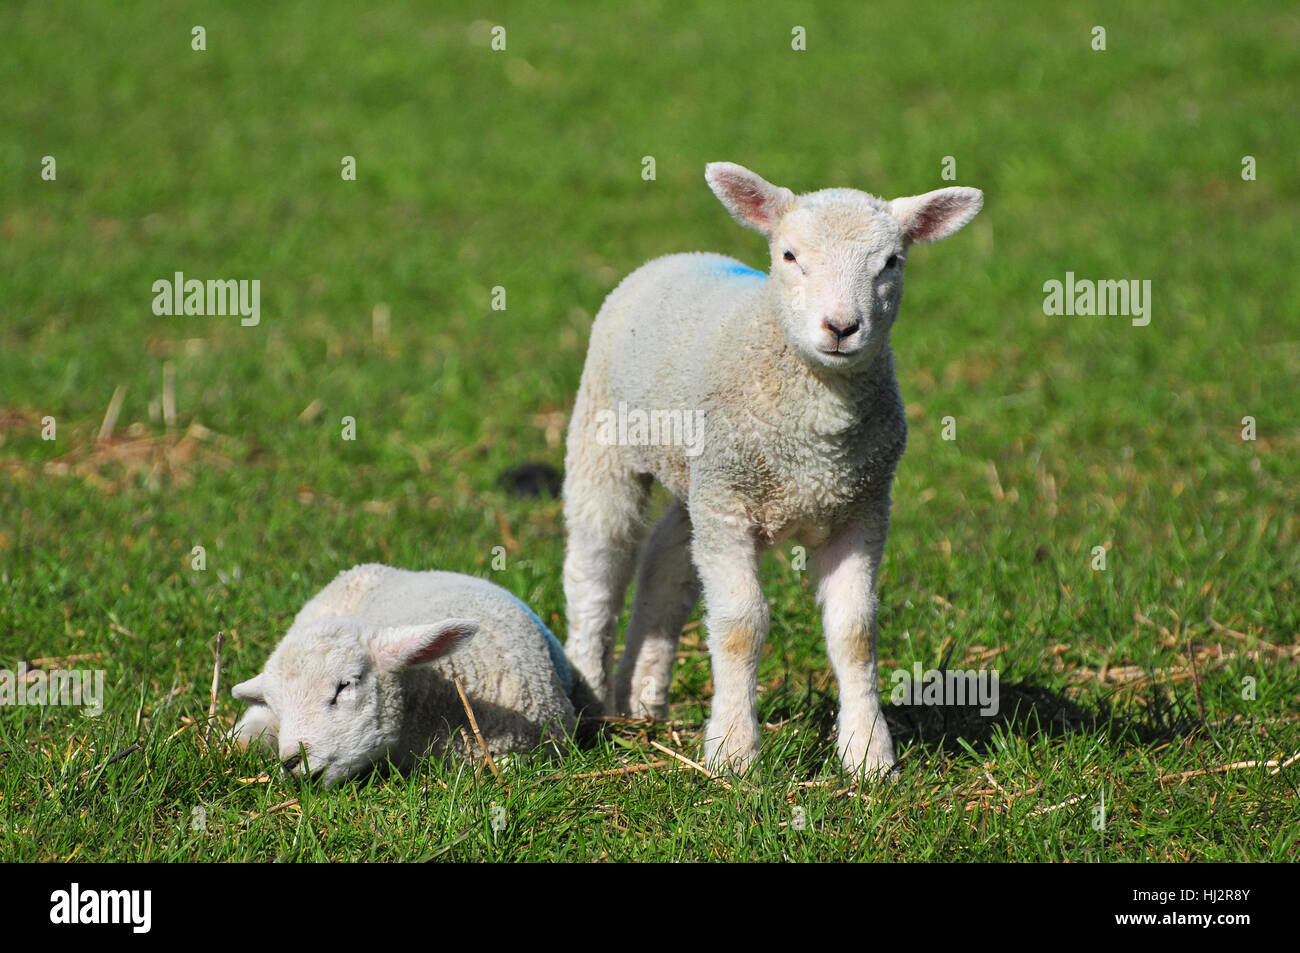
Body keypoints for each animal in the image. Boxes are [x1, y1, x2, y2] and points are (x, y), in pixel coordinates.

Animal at [562, 162, 982, 777]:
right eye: (789, 255)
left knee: (666, 561)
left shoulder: (862, 509)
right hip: (607, 439)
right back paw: (589, 699)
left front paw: (868, 755)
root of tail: (678, 257)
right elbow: (740, 626)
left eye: (891, 262)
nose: (842, 328)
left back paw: (641, 700)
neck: (814, 443)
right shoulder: (729, 507)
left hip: (702, 479)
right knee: (598, 568)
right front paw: (733, 753)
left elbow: (855, 631)